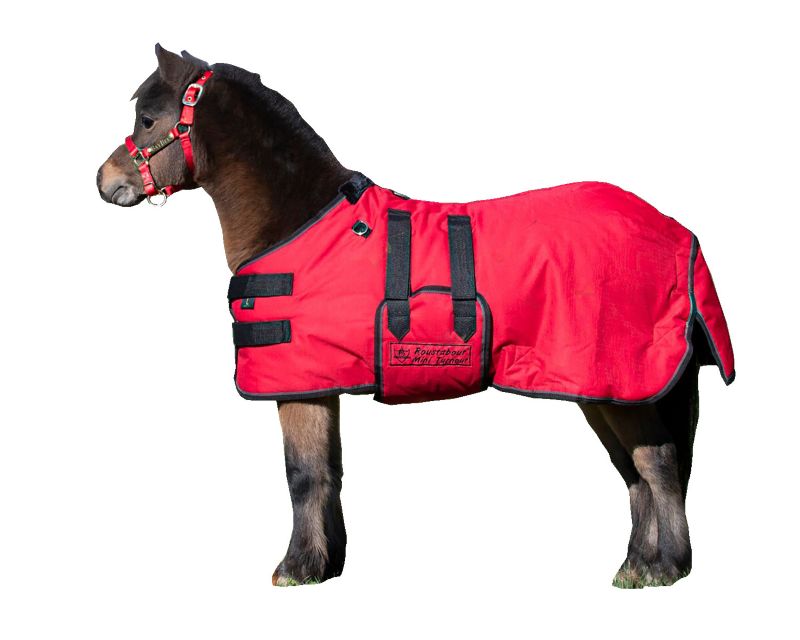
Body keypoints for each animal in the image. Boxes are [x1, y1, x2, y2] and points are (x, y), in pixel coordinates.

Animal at [97, 45, 734, 588]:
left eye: (149, 119)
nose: (106, 181)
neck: (300, 221)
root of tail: (677, 232)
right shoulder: (323, 384)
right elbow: (329, 473)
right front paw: (327, 564)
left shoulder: (299, 386)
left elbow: (302, 475)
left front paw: (295, 568)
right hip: (598, 391)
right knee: (634, 472)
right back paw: (636, 564)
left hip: (619, 383)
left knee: (656, 463)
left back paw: (665, 568)